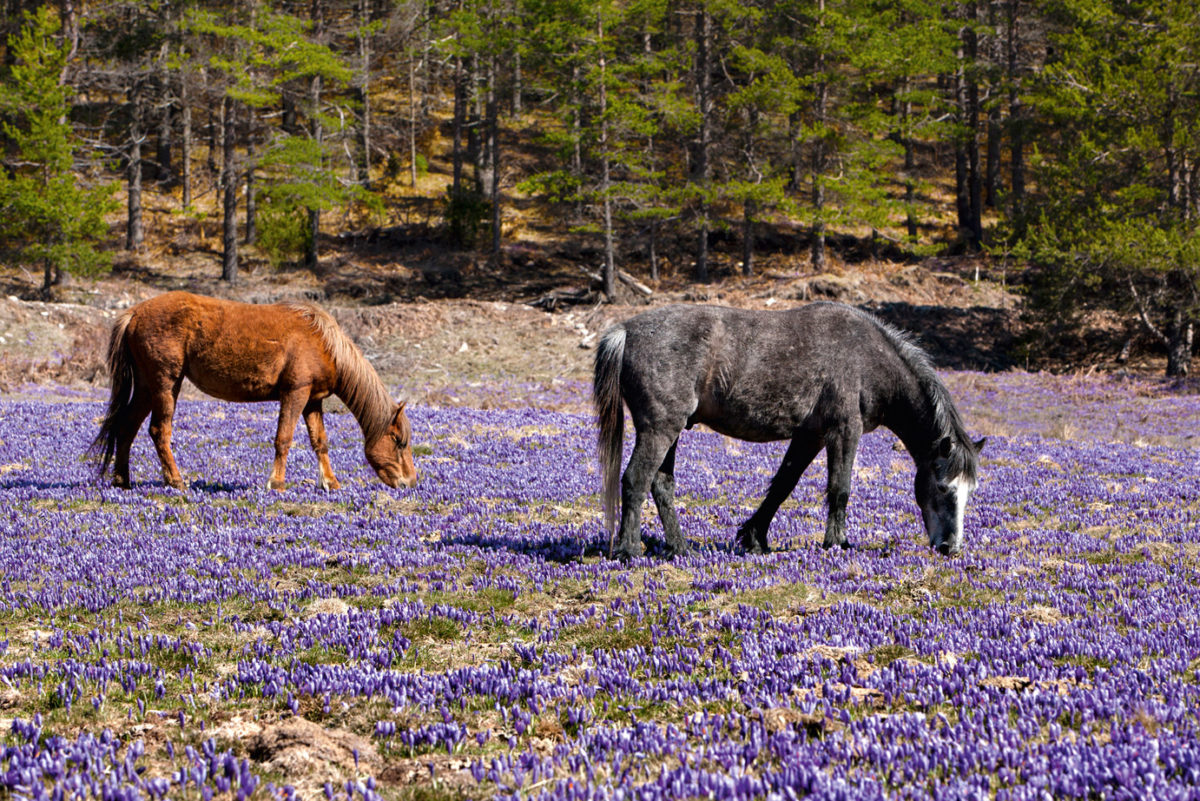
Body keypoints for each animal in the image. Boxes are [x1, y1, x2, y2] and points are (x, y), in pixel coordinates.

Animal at [90, 291, 417, 491]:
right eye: (398, 441)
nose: (410, 482)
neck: (323, 342)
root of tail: (134, 313)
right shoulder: (295, 393)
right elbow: (283, 439)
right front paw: (277, 483)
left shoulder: (313, 401)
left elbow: (320, 442)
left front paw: (331, 483)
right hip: (165, 384)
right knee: (159, 431)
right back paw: (176, 481)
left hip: (147, 387)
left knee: (126, 427)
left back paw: (122, 480)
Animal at [592, 303, 984, 561]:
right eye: (942, 487)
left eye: (969, 491)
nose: (950, 548)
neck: (867, 356)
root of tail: (624, 332)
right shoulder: (844, 431)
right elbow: (840, 490)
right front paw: (836, 544)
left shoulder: (810, 435)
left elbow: (782, 485)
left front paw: (754, 538)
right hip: (659, 429)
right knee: (635, 479)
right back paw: (628, 550)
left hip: (671, 431)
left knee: (660, 484)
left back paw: (680, 547)